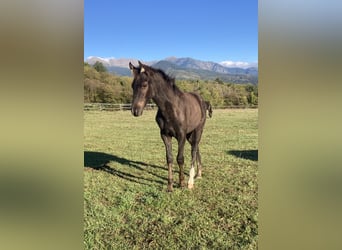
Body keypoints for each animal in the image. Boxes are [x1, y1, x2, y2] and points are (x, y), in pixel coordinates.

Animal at [128, 61, 211, 191]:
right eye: (132, 86)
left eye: (144, 85)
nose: (135, 111)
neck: (171, 108)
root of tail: (202, 101)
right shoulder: (165, 135)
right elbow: (169, 158)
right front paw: (170, 186)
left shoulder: (181, 135)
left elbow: (180, 158)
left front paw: (181, 183)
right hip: (189, 134)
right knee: (196, 147)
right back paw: (198, 173)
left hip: (198, 130)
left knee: (193, 150)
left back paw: (190, 181)